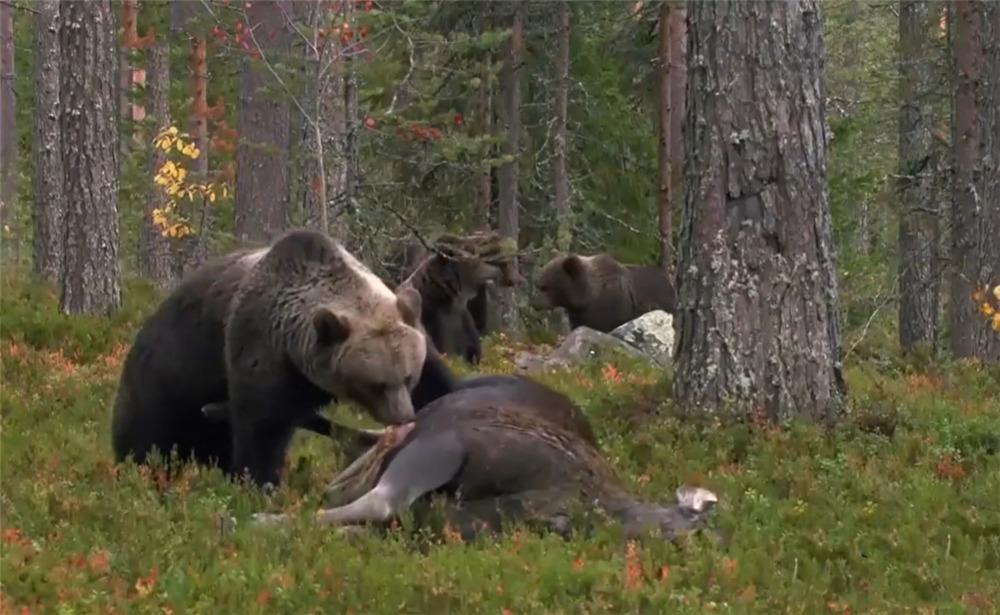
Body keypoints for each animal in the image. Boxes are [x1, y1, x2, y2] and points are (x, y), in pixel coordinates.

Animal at [110, 229, 458, 488]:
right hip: (168, 377)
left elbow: (439, 382)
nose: (402, 417)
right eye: (374, 384)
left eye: (408, 377)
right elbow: (263, 427)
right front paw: (258, 483)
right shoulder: (263, 352)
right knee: (147, 437)